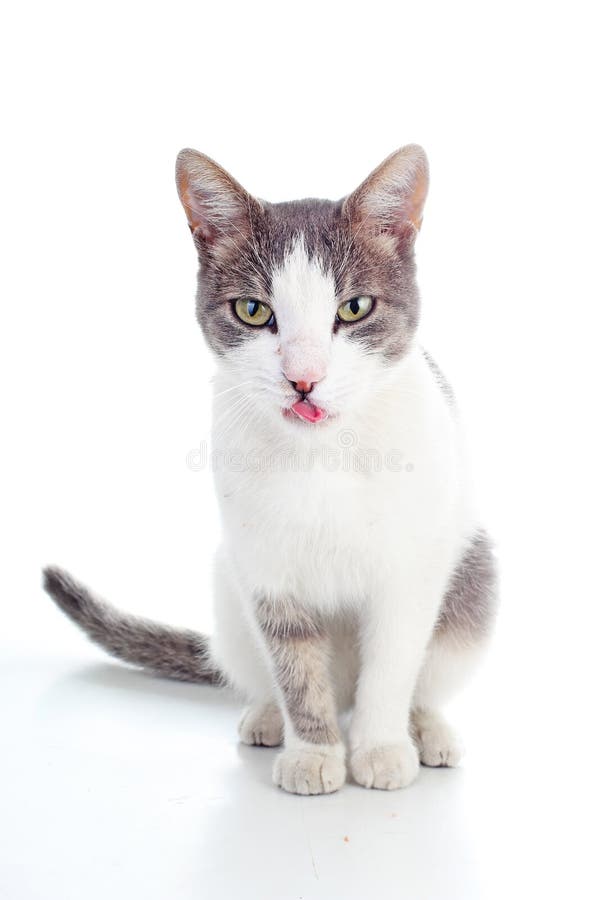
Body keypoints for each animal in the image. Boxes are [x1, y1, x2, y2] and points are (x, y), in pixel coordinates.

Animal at [44, 146, 496, 796]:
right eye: (254, 311)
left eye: (354, 308)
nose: (303, 379)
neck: (323, 454)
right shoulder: (265, 568)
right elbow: (294, 665)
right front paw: (314, 752)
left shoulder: (410, 570)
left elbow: (392, 664)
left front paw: (381, 748)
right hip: (226, 592)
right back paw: (266, 717)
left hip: (473, 577)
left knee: (426, 676)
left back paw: (427, 730)